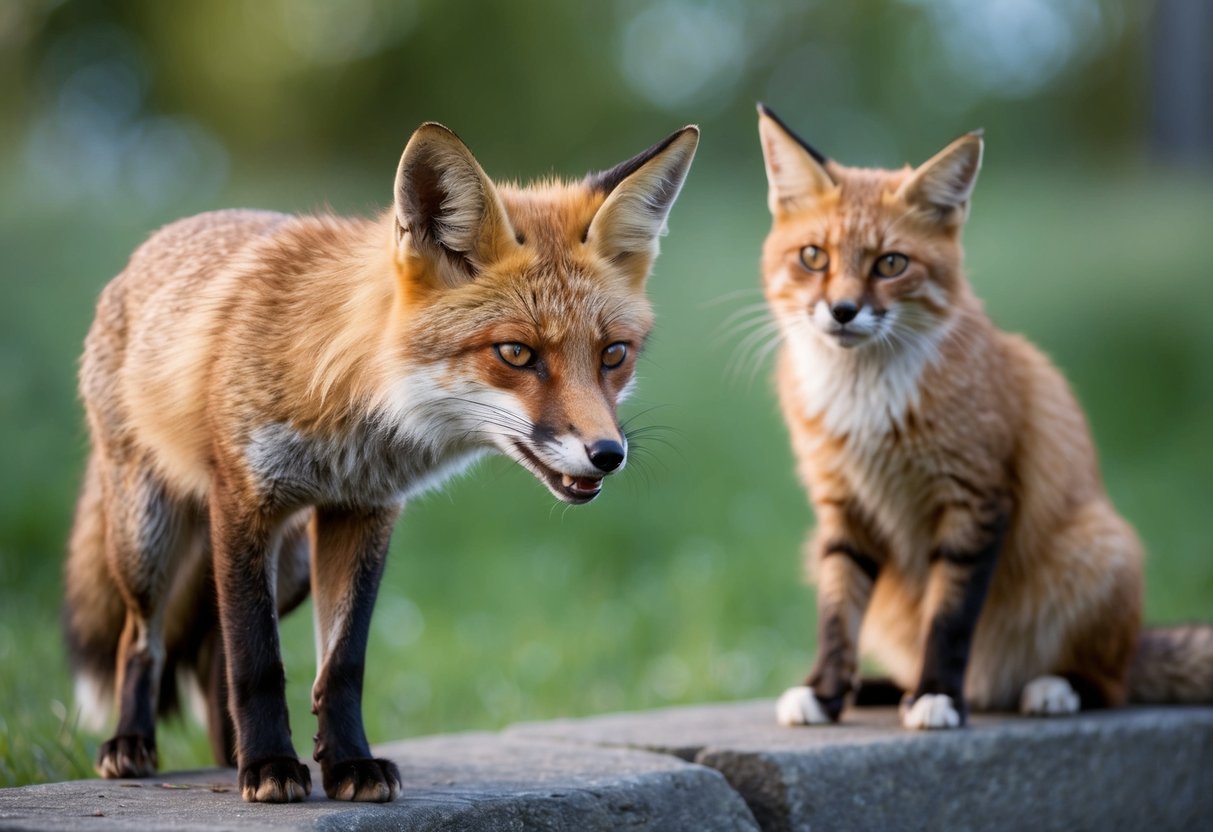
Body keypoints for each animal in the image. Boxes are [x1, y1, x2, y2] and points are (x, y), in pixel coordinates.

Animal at [63, 121, 699, 802]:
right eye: (516, 353)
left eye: (613, 355)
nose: (607, 455)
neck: (352, 409)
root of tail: (141, 254)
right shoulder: (242, 504)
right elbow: (257, 659)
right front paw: (271, 765)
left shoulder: (363, 511)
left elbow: (341, 663)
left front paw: (346, 764)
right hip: (148, 540)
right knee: (142, 640)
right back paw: (135, 743)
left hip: (290, 565)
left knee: (210, 653)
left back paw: (228, 752)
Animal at [753, 103, 1213, 731]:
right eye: (813, 257)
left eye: (890, 264)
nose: (843, 311)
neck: (868, 404)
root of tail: (994, 685)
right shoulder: (842, 509)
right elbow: (836, 615)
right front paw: (825, 693)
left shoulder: (976, 499)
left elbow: (948, 622)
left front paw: (938, 697)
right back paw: (877, 688)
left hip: (1101, 554)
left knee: (1111, 686)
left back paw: (1050, 689)